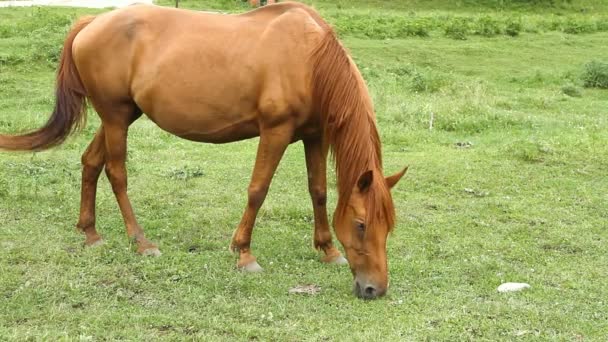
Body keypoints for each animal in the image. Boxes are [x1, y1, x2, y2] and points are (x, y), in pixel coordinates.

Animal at [2, 1, 408, 298]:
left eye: (388, 225)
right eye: (361, 224)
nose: (374, 289)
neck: (310, 60)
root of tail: (90, 23)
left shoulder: (316, 136)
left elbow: (319, 191)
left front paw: (328, 250)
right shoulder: (275, 132)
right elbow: (258, 190)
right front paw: (244, 253)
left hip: (120, 116)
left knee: (90, 162)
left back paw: (90, 233)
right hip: (115, 117)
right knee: (116, 173)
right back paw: (141, 241)